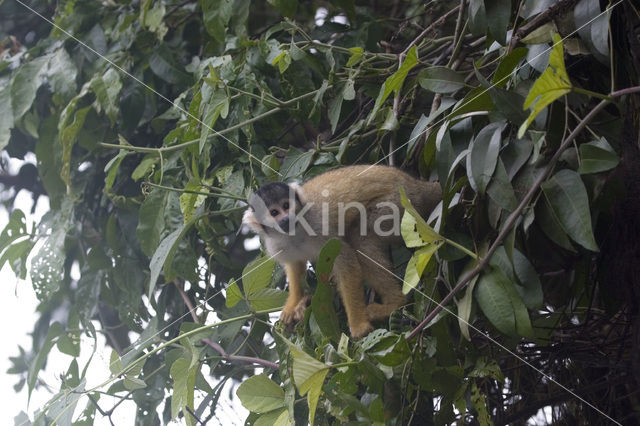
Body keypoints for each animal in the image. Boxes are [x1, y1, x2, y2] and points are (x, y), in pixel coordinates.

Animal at [242, 165, 442, 338]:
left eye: (286, 206)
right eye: (274, 212)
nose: (286, 218)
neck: (295, 233)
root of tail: (416, 184)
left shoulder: (317, 225)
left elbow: (346, 262)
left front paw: (358, 325)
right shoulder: (276, 244)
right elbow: (294, 265)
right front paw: (294, 303)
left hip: (398, 203)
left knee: (360, 239)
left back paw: (395, 302)